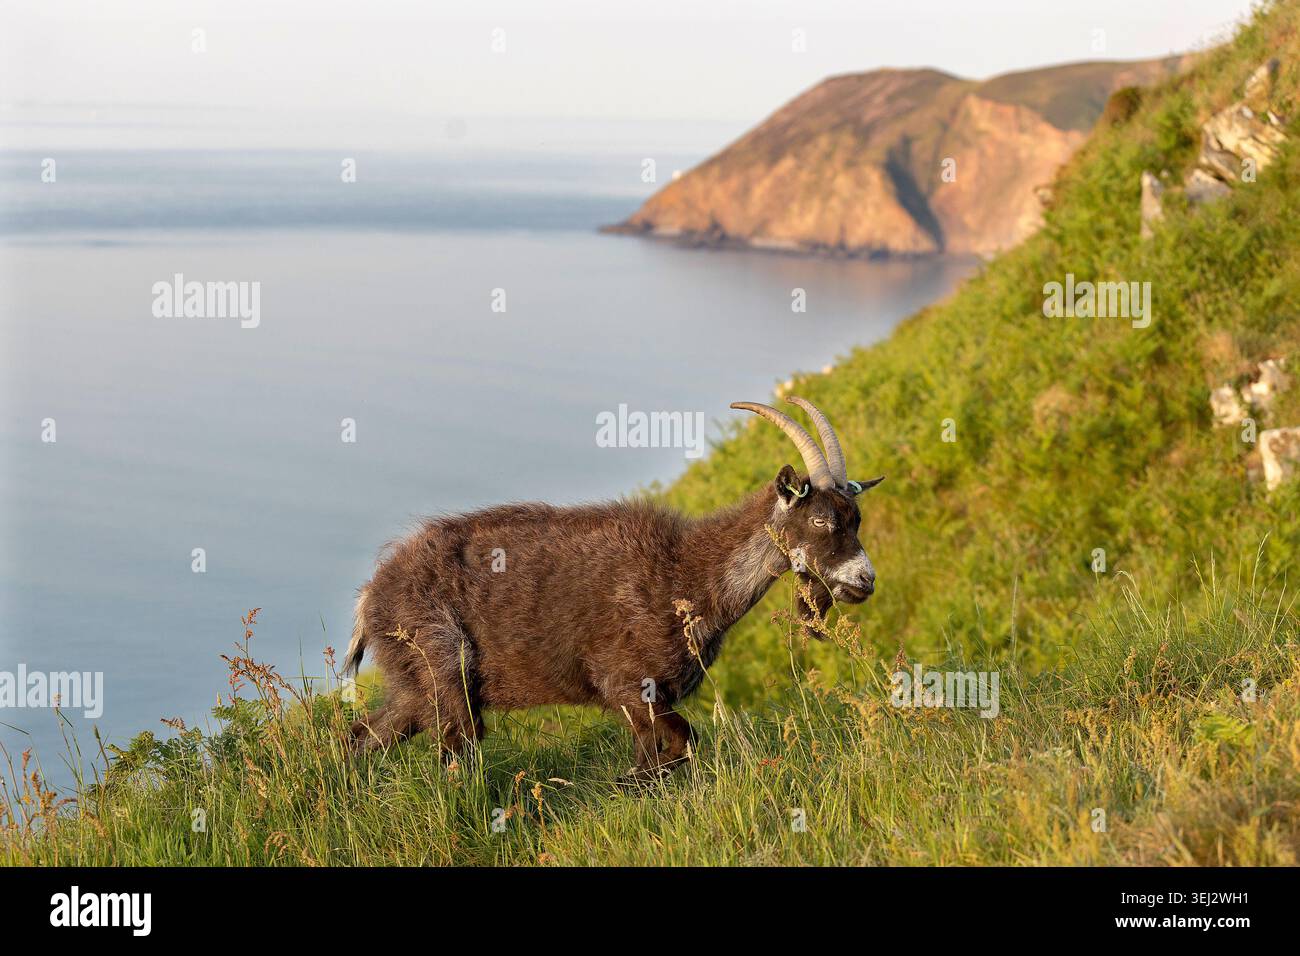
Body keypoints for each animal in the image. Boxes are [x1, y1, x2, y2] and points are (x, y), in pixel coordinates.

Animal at [342, 396, 882, 780]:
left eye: (856, 518)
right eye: (820, 519)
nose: (864, 580)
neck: (689, 572)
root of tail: (370, 598)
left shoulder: (646, 702)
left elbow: (659, 756)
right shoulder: (628, 686)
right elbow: (679, 743)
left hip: (413, 690)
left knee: (361, 736)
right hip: (442, 668)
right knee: (454, 755)